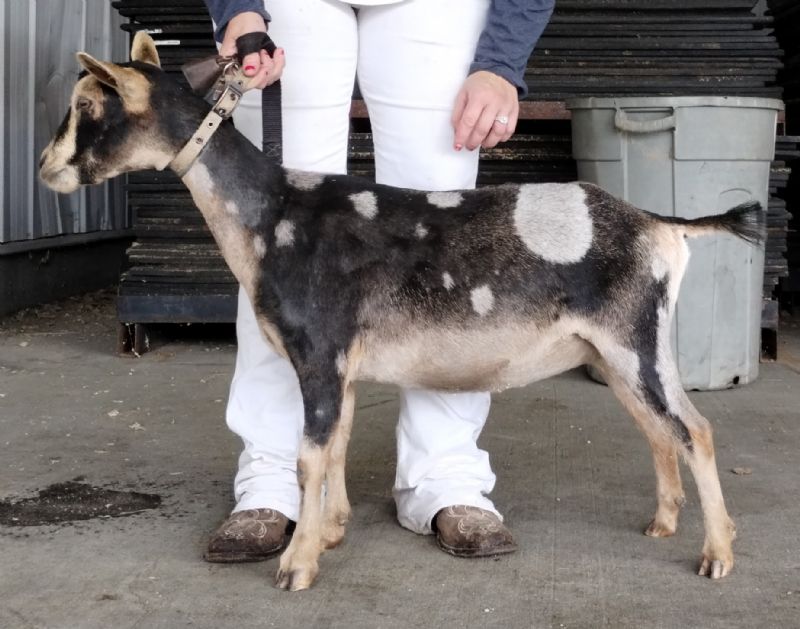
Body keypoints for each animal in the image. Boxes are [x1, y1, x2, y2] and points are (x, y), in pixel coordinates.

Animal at [41, 33, 762, 590]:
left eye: (86, 105)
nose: (47, 168)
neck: (273, 214)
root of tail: (660, 224)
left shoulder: (320, 350)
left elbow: (309, 457)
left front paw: (297, 567)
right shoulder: (342, 366)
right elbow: (332, 448)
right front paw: (330, 533)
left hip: (633, 340)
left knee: (695, 430)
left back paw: (718, 555)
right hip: (616, 353)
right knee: (657, 428)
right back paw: (663, 522)